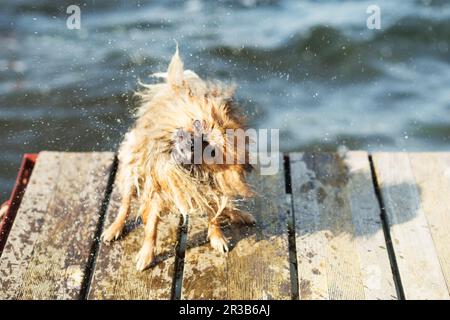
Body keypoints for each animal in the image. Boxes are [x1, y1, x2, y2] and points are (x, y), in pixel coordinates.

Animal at [103, 48, 256, 272]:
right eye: (197, 123)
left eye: (211, 149)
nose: (192, 142)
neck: (188, 171)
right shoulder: (158, 189)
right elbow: (151, 227)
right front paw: (146, 255)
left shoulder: (211, 189)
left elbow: (214, 215)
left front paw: (217, 237)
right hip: (133, 169)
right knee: (125, 203)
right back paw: (114, 228)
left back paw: (238, 214)